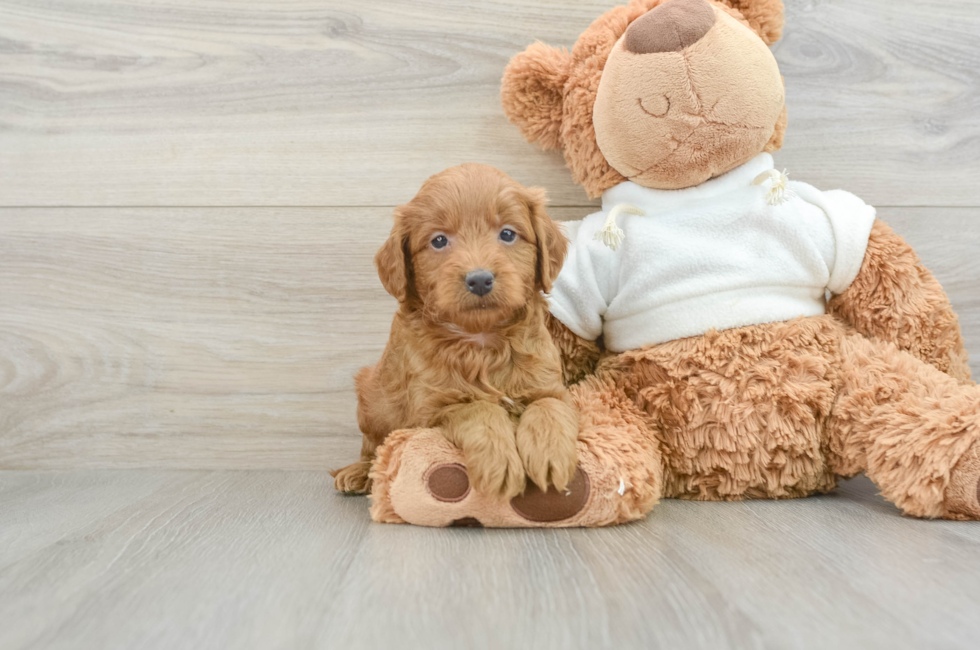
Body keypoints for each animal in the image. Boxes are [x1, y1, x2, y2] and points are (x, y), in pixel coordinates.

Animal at [334, 162, 580, 496]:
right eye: (439, 240)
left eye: (507, 234)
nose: (479, 279)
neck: (482, 340)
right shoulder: (429, 412)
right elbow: (477, 409)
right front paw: (499, 462)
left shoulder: (551, 386)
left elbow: (548, 406)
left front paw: (551, 454)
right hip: (371, 399)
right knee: (373, 446)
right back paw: (358, 473)